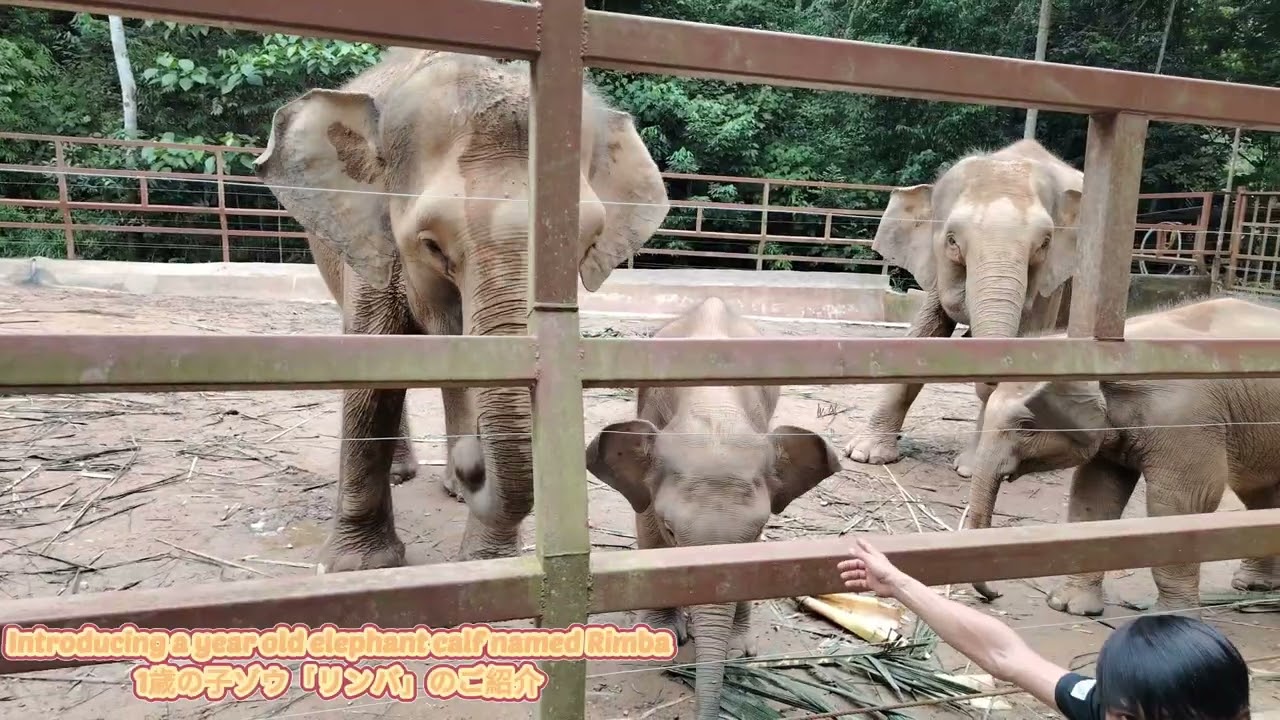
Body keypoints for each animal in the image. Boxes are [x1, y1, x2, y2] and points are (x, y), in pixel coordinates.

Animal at [253, 48, 670, 571]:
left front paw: (487, 563)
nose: (474, 462)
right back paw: (405, 475)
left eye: (587, 243)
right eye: (431, 245)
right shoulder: (375, 248)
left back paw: (450, 485)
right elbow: (373, 374)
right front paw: (356, 567)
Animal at [584, 296, 843, 720]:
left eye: (758, 530)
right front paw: (664, 635)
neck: (713, 405)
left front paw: (738, 651)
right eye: (672, 531)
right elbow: (647, 530)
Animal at [844, 138, 1083, 478]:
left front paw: (972, 468)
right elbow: (924, 336)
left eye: (1044, 243)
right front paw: (865, 454)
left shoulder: (1049, 285)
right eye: (952, 241)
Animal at [960, 297, 1280, 614]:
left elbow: (1184, 501)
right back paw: (1254, 586)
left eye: (1026, 427)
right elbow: (1093, 494)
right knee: (1258, 492)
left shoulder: (1186, 421)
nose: (995, 595)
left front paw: (1170, 615)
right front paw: (1070, 607)